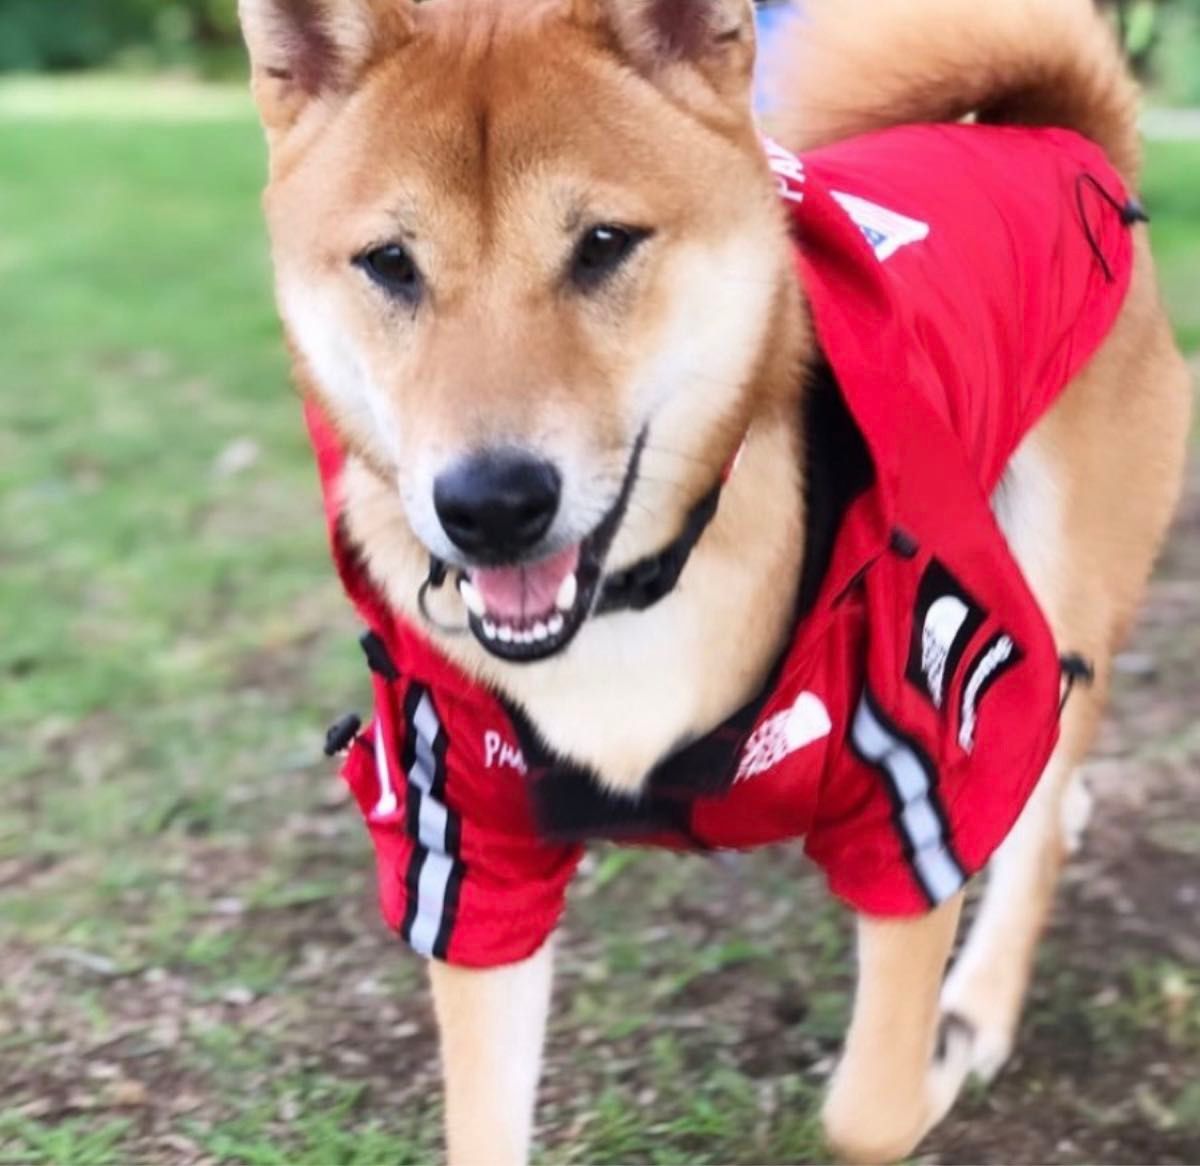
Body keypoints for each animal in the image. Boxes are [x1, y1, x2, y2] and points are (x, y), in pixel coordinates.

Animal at [236, 0, 1190, 1156]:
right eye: (389, 262)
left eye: (603, 244)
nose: (493, 505)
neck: (638, 599)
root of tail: (1060, 137)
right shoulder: (469, 848)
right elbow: (485, 1116)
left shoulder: (923, 770)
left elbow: (869, 1110)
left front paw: (931, 1069)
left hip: (1058, 585)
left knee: (1042, 803)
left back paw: (980, 1001)